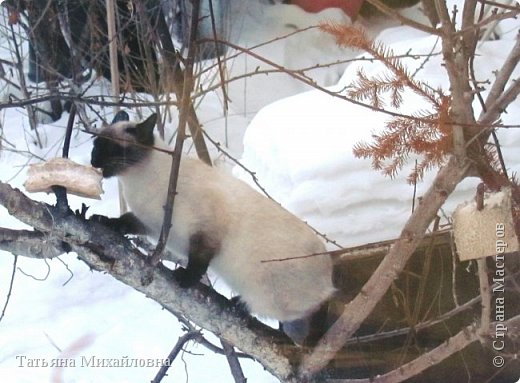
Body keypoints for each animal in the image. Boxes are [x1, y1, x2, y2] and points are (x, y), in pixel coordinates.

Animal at [91, 112, 336, 342]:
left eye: (112, 148)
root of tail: (328, 282)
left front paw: (185, 279)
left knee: (291, 321)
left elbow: (198, 263)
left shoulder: (204, 233)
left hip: (269, 292)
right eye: (96, 145)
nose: (93, 161)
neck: (136, 182)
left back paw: (243, 305)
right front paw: (103, 221)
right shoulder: (149, 223)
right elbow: (123, 222)